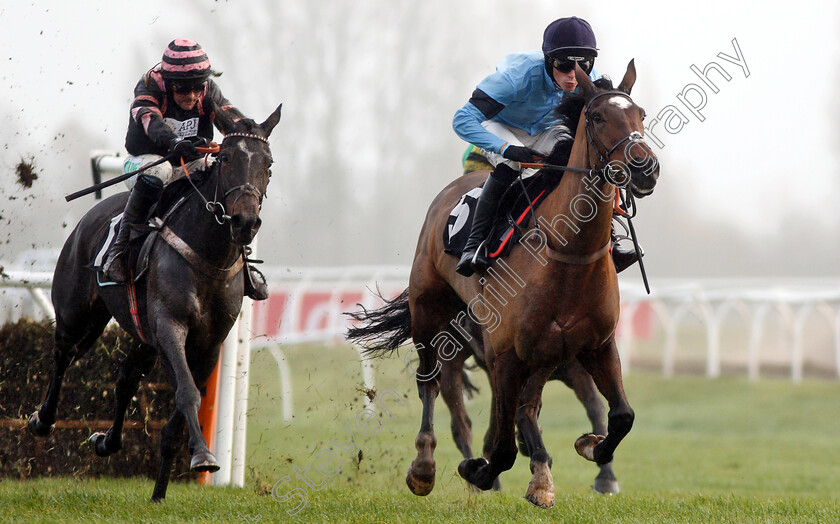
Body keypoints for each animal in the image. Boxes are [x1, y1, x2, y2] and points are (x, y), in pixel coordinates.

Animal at [27, 104, 282, 502]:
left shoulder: (208, 344)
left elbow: (178, 409)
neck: (209, 254)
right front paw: (204, 455)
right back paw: (43, 419)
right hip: (75, 312)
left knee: (125, 379)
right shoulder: (170, 327)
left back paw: (107, 442)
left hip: (143, 338)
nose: (244, 222)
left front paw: (162, 490)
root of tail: (90, 216)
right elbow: (187, 393)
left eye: (268, 163)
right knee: (63, 354)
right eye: (225, 157)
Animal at [346, 62, 656, 508]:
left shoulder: (594, 345)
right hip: (431, 315)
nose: (645, 168)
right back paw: (424, 466)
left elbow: (619, 417)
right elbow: (504, 445)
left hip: (539, 355)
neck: (568, 253)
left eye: (641, 115)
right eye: (598, 117)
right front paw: (480, 470)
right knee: (431, 384)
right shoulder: (507, 356)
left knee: (525, 407)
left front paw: (588, 448)